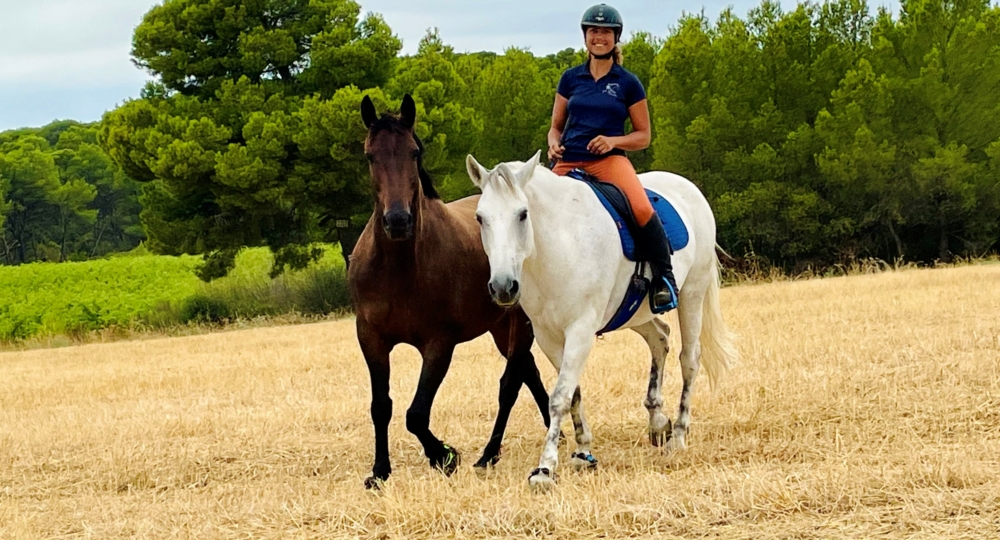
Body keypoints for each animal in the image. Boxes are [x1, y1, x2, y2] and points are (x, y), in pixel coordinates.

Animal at [350, 94, 556, 490]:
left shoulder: (438, 344)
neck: (400, 267)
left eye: (414, 152)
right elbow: (381, 406)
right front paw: (380, 471)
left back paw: (489, 454)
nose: (397, 221)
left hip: (518, 324)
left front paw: (444, 455)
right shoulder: (371, 338)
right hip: (500, 327)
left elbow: (416, 413)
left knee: (511, 383)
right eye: (369, 155)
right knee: (529, 373)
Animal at [464, 151, 740, 490]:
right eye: (480, 218)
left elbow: (559, 397)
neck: (559, 245)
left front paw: (545, 468)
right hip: (636, 312)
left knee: (689, 359)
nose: (503, 287)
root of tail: (688, 187)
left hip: (693, 294)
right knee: (660, 338)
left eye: (522, 214)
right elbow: (572, 392)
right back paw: (658, 421)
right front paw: (583, 451)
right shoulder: (548, 336)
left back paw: (678, 435)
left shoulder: (580, 330)